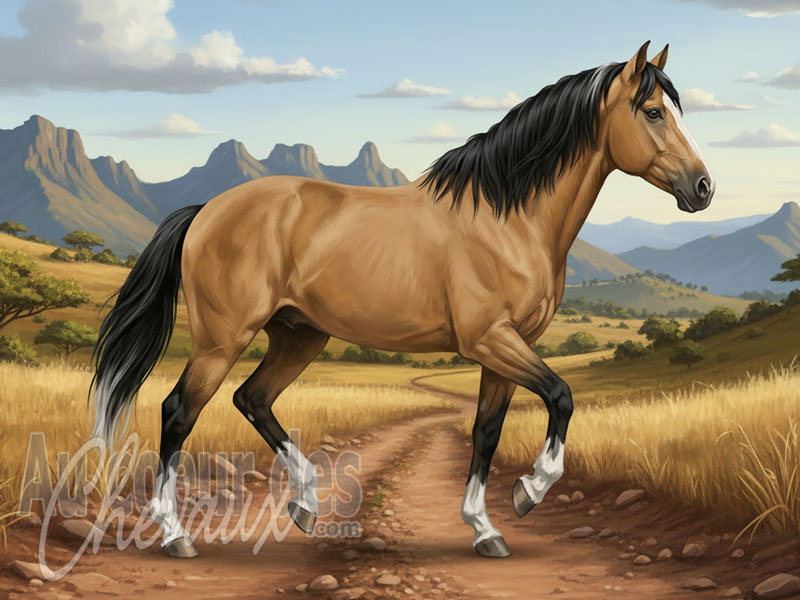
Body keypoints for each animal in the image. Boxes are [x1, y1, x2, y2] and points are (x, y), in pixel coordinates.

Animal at [90, 41, 714, 559]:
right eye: (653, 111)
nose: (704, 188)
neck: (508, 218)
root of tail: (207, 210)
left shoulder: (508, 349)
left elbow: (486, 432)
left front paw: (485, 529)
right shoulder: (491, 339)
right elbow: (561, 396)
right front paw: (528, 493)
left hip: (299, 335)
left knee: (253, 399)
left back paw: (306, 505)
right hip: (222, 340)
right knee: (179, 412)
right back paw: (176, 536)